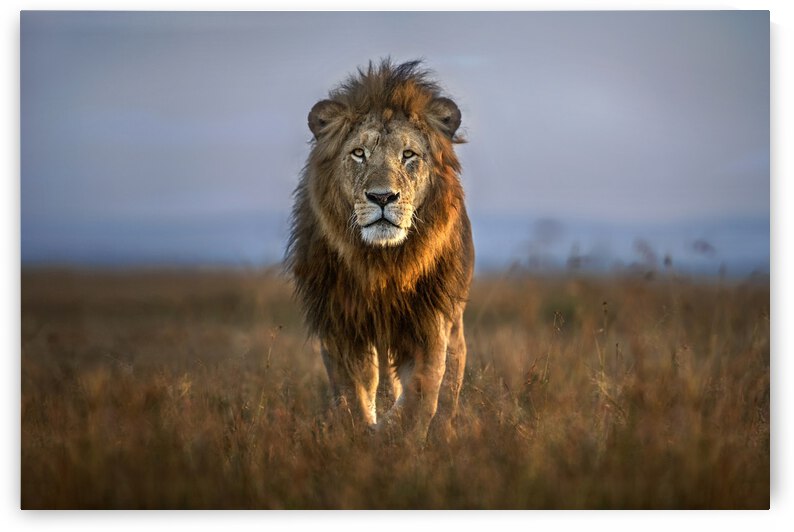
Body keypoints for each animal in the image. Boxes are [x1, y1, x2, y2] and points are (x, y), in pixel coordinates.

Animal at [286, 59, 474, 441]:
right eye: (359, 153)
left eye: (408, 155)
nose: (383, 197)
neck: (383, 263)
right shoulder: (341, 323)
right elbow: (353, 391)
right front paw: (361, 433)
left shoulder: (429, 322)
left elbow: (421, 392)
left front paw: (395, 436)